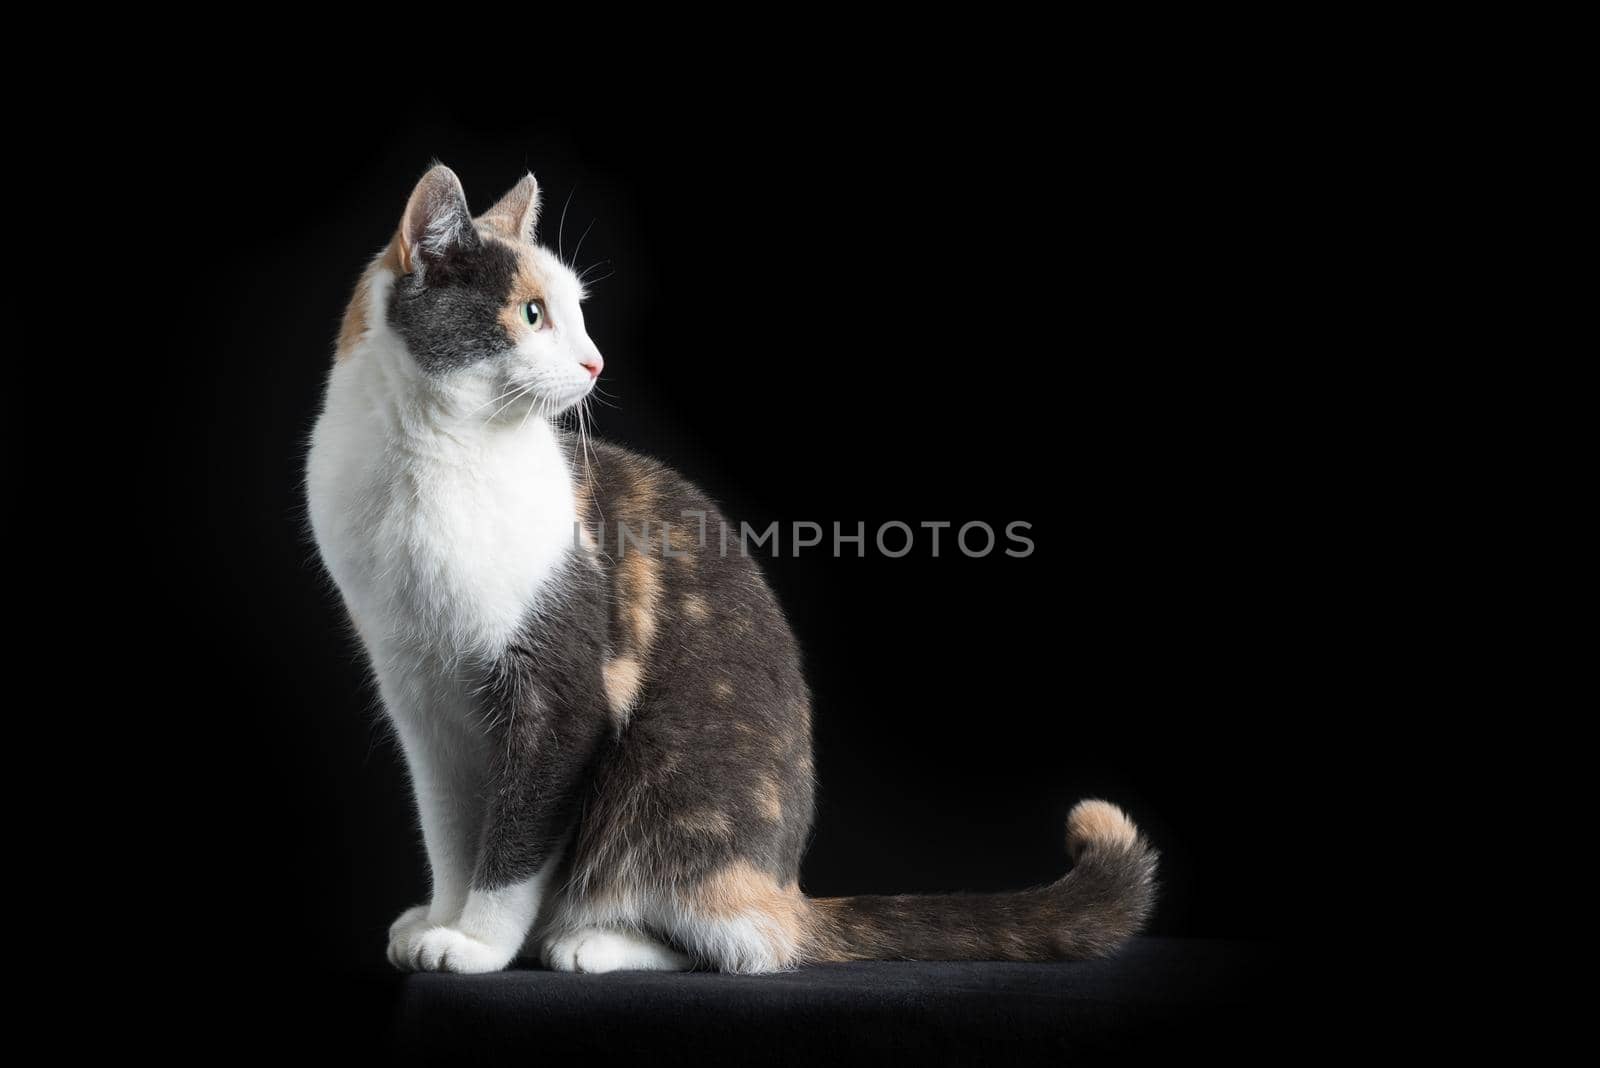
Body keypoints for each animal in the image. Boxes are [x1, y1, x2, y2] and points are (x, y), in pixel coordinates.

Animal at [305, 163, 1158, 972]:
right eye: (531, 313)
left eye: (575, 311)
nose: (594, 361)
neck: (435, 459)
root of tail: (787, 886)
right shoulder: (423, 703)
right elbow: (451, 828)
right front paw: (442, 917)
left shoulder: (562, 698)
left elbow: (516, 838)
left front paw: (479, 943)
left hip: (671, 778)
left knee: (737, 941)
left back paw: (592, 941)